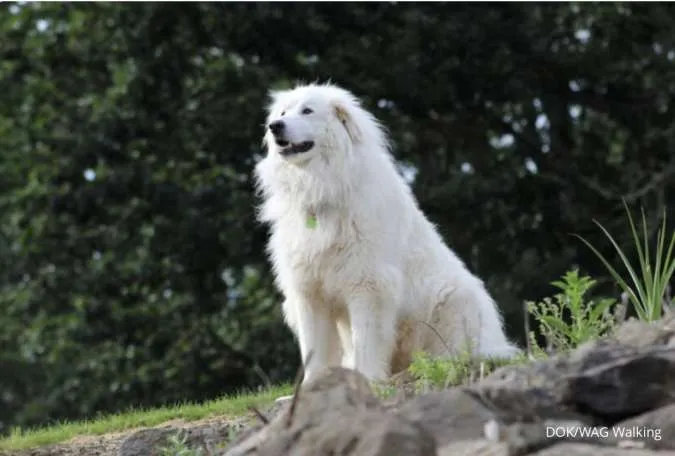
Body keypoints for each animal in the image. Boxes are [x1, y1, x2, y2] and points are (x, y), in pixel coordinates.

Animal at [256, 83, 520, 384]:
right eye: (282, 113)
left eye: (307, 111)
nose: (274, 126)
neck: (321, 185)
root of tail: (497, 343)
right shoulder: (309, 291)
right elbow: (315, 348)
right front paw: (314, 385)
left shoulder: (368, 284)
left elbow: (367, 340)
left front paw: (368, 379)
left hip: (457, 299)